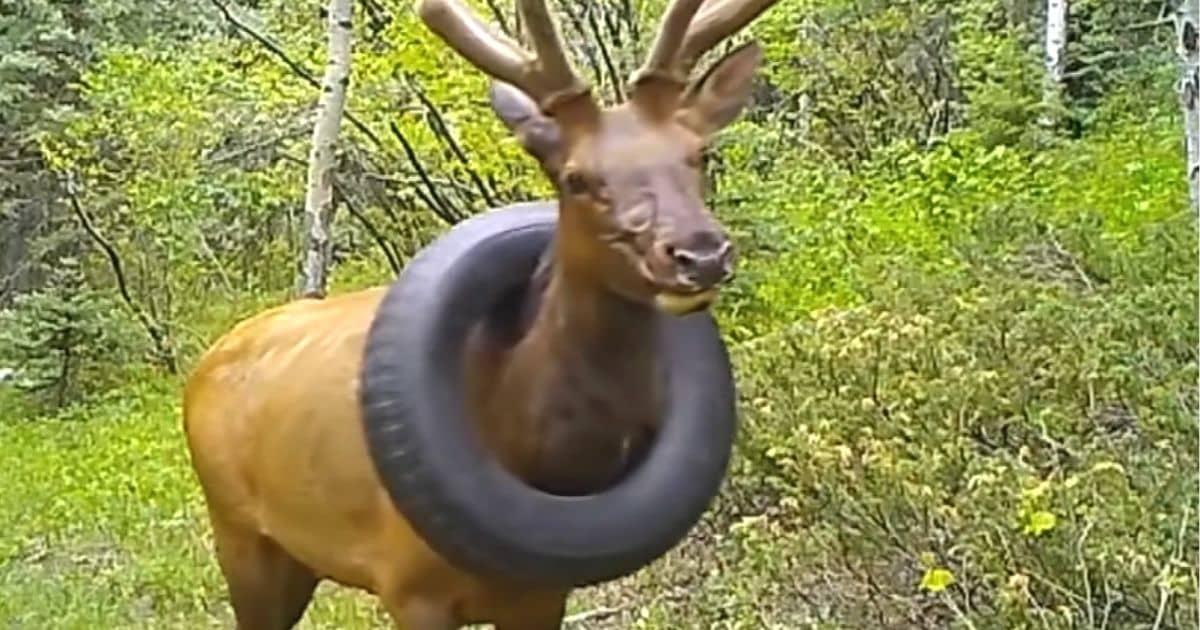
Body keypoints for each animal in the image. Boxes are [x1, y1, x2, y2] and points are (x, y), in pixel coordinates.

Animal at [177, 0, 777, 624]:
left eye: (699, 152)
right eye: (576, 177)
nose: (700, 254)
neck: (524, 440)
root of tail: (204, 367)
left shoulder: (543, 595)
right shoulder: (408, 586)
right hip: (240, 536)